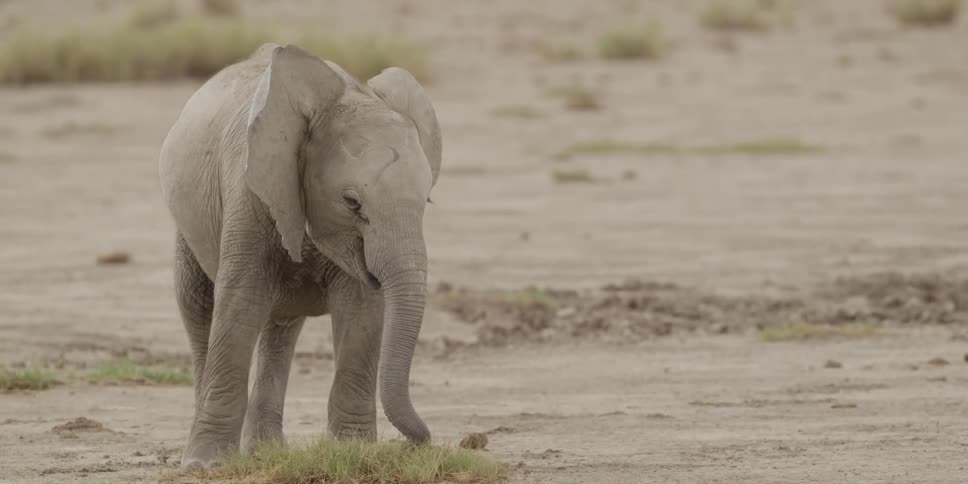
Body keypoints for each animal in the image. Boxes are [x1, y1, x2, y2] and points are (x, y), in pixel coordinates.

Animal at [157, 43, 441, 468]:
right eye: (352, 202)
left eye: (426, 200)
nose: (417, 443)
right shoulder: (249, 190)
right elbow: (239, 301)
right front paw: (206, 465)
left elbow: (362, 311)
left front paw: (354, 453)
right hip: (188, 221)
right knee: (197, 305)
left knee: (281, 327)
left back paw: (266, 449)